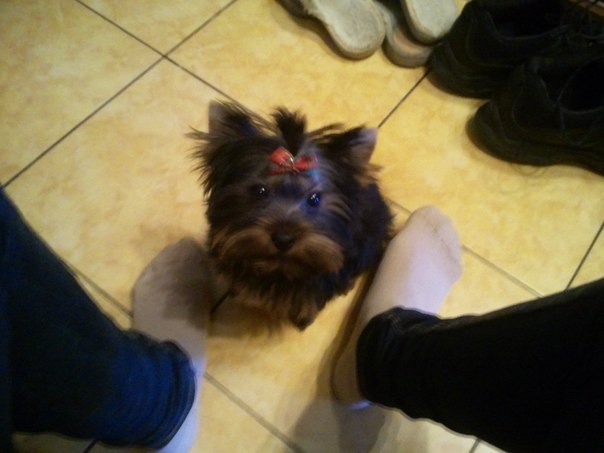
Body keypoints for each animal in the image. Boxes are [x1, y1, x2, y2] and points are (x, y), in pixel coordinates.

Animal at [191, 101, 392, 329]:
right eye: (260, 191)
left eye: (314, 198)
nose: (283, 239)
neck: (280, 269)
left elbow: (309, 301)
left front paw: (304, 318)